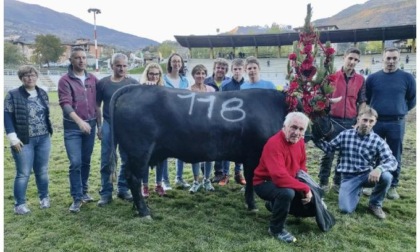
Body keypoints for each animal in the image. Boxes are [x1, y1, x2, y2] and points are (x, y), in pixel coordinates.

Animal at [109, 84, 288, 219]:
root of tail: (135, 88)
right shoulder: (254, 155)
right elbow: (251, 181)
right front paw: (252, 205)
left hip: (131, 153)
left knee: (130, 176)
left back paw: (137, 207)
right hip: (139, 151)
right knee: (134, 178)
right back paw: (144, 211)